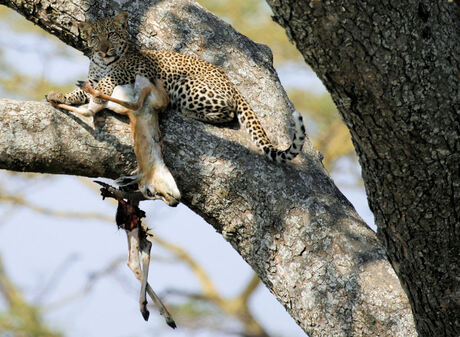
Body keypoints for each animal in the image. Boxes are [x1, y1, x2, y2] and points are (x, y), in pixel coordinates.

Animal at [45, 10, 306, 163]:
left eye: (111, 34)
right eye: (95, 37)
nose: (103, 50)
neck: (101, 62)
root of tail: (232, 84)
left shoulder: (141, 69)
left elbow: (111, 78)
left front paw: (101, 89)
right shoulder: (92, 77)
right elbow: (81, 89)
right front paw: (59, 95)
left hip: (186, 84)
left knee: (228, 112)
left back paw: (187, 111)